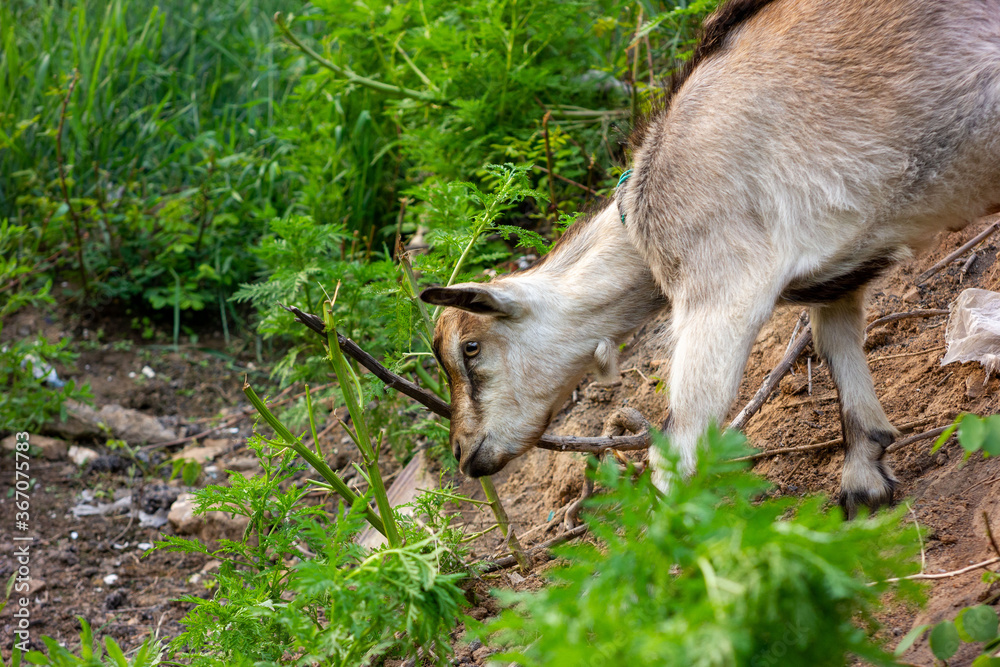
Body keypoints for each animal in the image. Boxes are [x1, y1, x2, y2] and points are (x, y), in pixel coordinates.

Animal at [420, 0, 1000, 516]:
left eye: (469, 347)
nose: (464, 454)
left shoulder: (721, 288)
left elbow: (676, 449)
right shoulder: (842, 272)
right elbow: (837, 349)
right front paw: (865, 480)